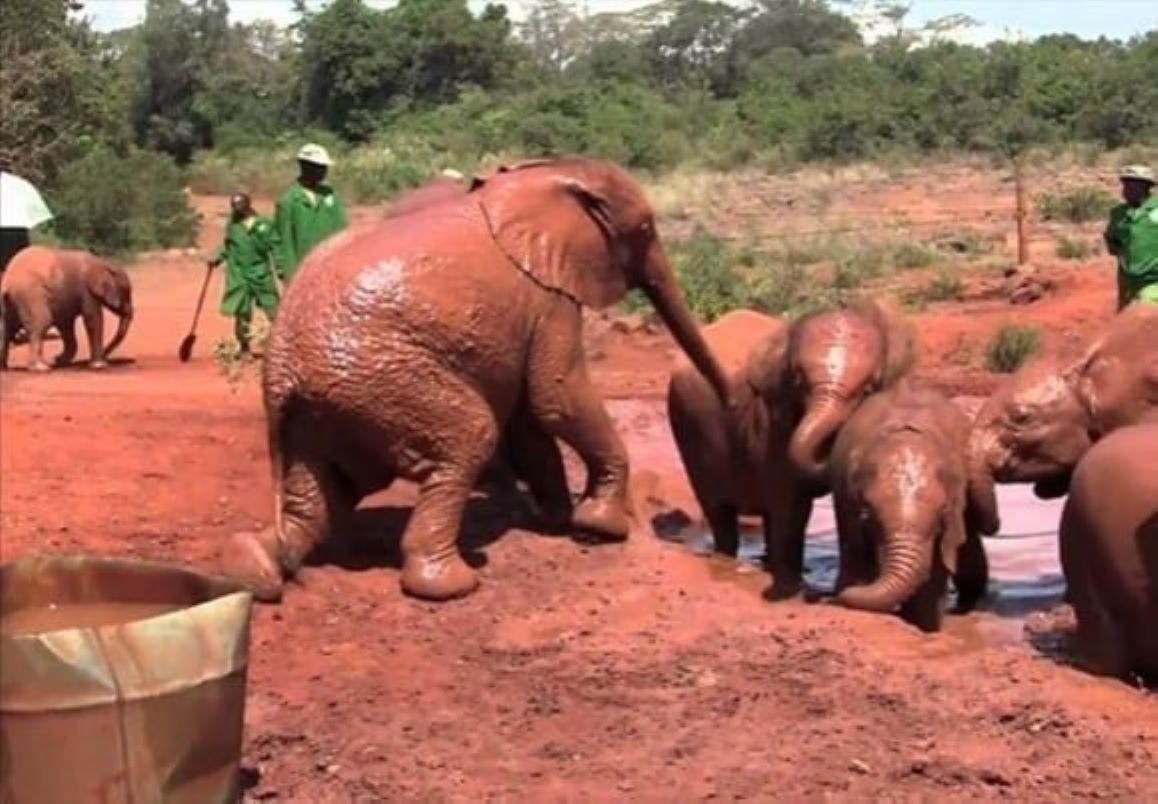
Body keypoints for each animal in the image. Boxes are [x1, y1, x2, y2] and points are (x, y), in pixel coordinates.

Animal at [0, 245, 133, 372]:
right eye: (126, 293)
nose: (106, 353)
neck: (104, 264)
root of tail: (6, 281)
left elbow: (66, 325)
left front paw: (61, 361)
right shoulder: (87, 291)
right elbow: (92, 319)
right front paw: (99, 365)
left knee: (6, 330)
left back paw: (4, 368)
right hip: (30, 296)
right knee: (41, 323)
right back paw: (41, 368)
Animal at [224, 157, 733, 603]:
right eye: (645, 230)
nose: (729, 403)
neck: (546, 173)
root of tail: (280, 368)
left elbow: (532, 420)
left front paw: (555, 520)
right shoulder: (548, 294)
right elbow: (556, 396)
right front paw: (600, 527)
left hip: (322, 409)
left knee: (321, 498)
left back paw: (255, 569)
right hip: (382, 379)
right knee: (468, 437)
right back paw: (453, 584)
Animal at [665, 297, 915, 598]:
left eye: (868, 389)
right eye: (798, 380)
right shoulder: (773, 419)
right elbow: (791, 501)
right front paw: (793, 589)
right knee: (718, 510)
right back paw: (728, 560)